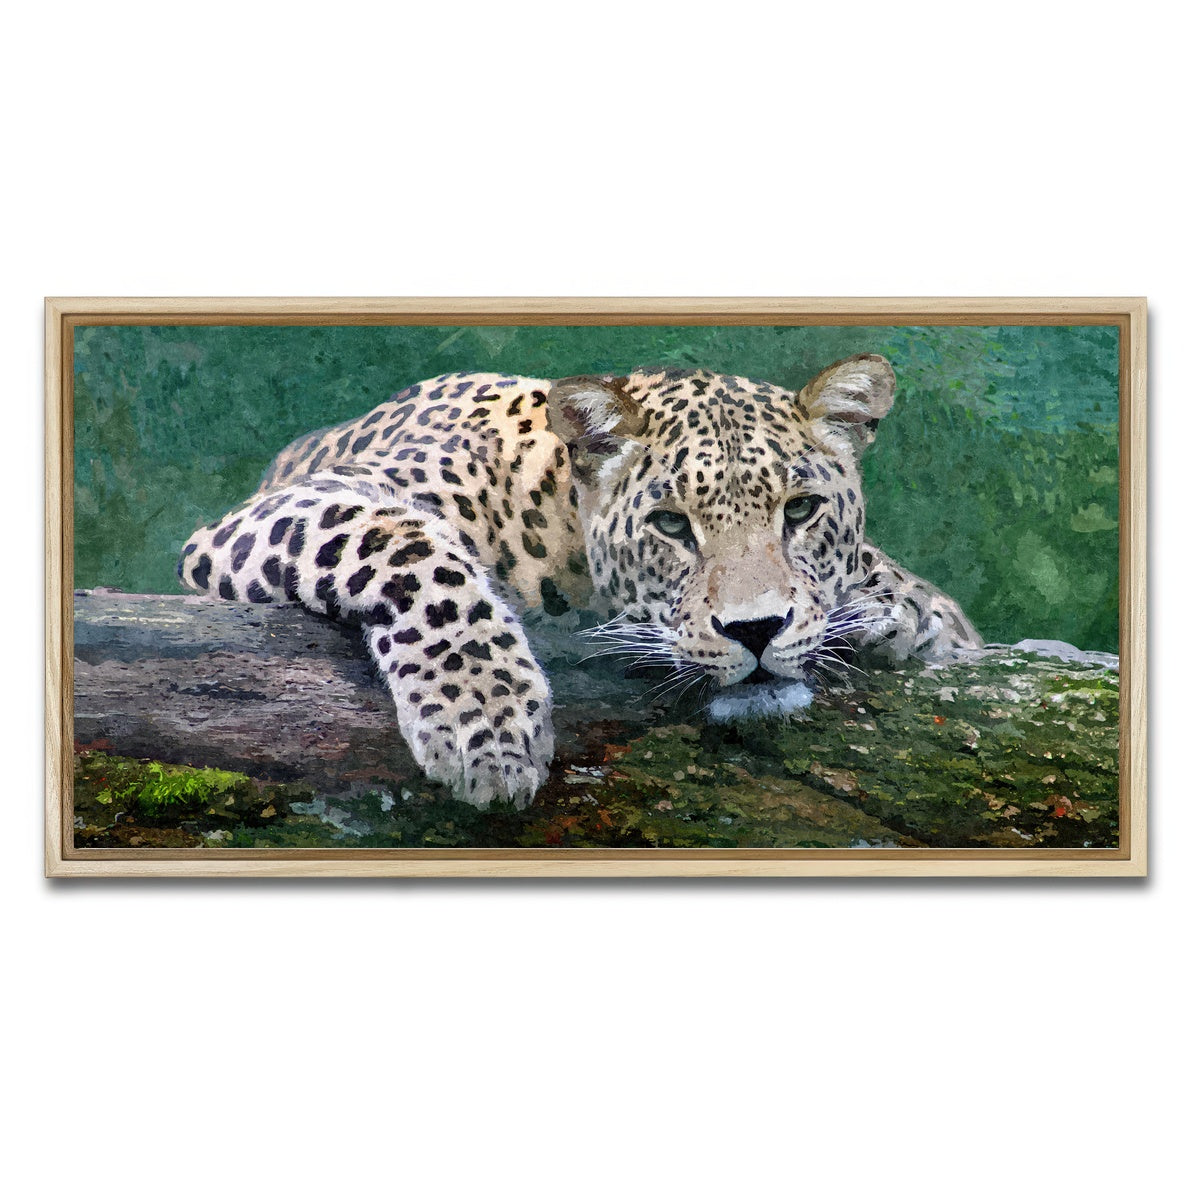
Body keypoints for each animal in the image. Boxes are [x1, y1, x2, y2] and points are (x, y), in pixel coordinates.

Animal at [179, 354, 982, 808]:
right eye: (670, 525)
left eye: (802, 510)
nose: (755, 630)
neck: (556, 521)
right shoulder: (291, 507)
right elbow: (413, 553)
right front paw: (487, 726)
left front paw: (899, 611)